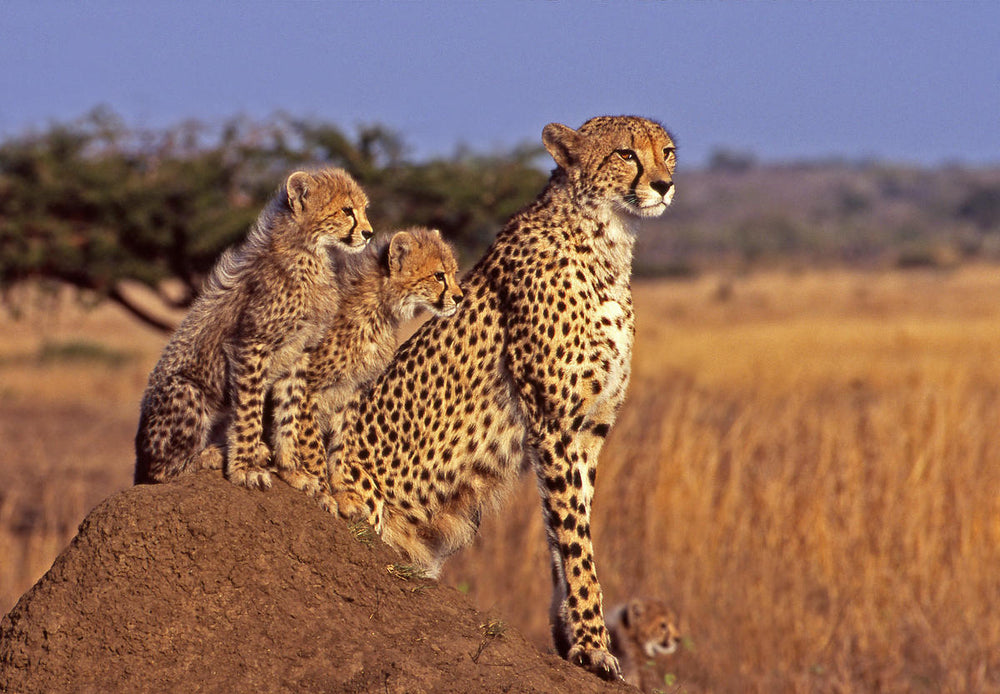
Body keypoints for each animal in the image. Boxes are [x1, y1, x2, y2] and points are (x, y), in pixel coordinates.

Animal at [133, 168, 373, 488]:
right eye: (347, 210)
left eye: (364, 209)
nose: (369, 233)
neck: (313, 253)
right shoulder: (250, 345)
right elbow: (249, 411)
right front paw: (245, 468)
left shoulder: (299, 352)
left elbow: (289, 413)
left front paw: (293, 470)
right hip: (186, 390)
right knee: (162, 471)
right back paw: (212, 455)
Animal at [268, 227, 463, 507]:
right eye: (439, 275)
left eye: (454, 272)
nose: (459, 297)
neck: (380, 312)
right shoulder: (309, 387)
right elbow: (311, 443)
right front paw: (323, 490)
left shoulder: (353, 390)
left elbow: (341, 443)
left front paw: (341, 491)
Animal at [326, 116, 676, 681]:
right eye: (626, 154)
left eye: (667, 151)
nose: (664, 185)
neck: (607, 240)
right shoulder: (553, 423)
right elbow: (576, 540)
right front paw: (595, 645)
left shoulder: (588, 430)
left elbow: (567, 532)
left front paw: (571, 639)